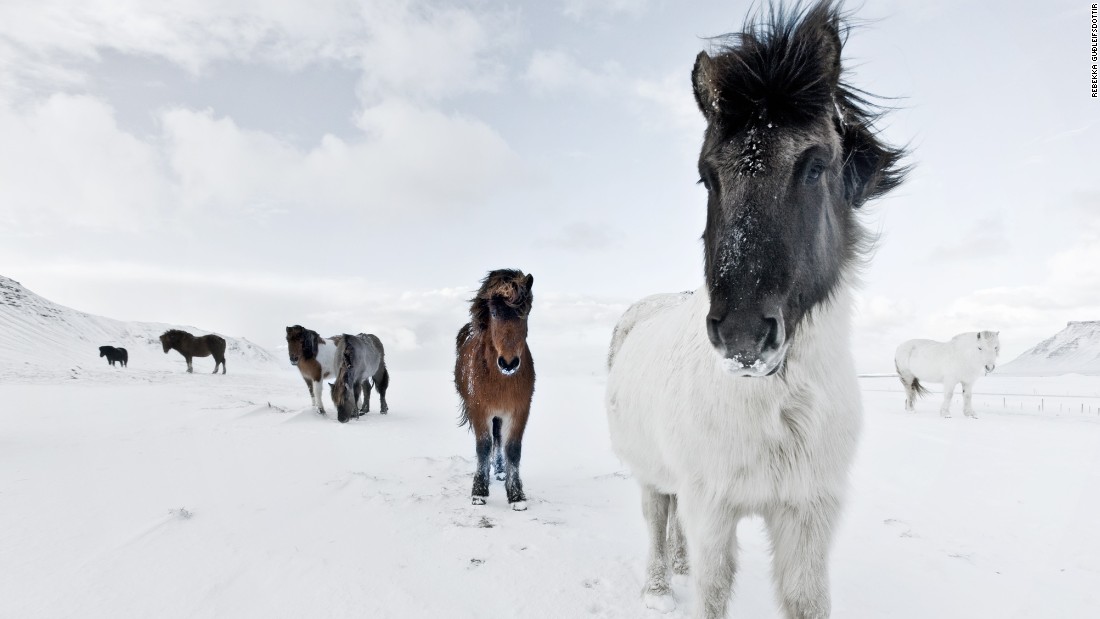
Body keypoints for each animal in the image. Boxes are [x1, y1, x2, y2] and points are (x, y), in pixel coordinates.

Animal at [453, 269, 534, 510]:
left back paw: (499, 470)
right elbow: (483, 446)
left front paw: (516, 496)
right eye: (495, 313)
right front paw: (479, 492)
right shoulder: (480, 410)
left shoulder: (520, 410)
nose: (509, 363)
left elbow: (512, 449)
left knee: (499, 438)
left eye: (524, 313)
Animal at [607, 2, 906, 615]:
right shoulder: (713, 509)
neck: (778, 411)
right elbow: (712, 589)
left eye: (815, 166)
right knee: (655, 516)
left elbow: (804, 598)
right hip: (650, 470)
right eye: (707, 176)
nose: (743, 335)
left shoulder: (808, 518)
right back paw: (657, 588)